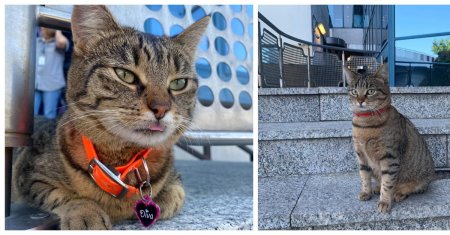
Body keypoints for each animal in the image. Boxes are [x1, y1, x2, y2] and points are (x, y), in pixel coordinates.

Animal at [14, 5, 210, 229]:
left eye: (179, 83)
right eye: (125, 75)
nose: (161, 108)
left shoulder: (175, 180)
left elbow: (174, 195)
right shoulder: (30, 174)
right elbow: (62, 195)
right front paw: (86, 212)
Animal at [344, 63, 436, 213]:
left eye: (370, 91)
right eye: (354, 92)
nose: (360, 101)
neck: (365, 125)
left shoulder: (390, 157)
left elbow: (387, 183)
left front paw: (385, 201)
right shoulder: (361, 155)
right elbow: (364, 176)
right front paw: (366, 192)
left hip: (418, 182)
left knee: (405, 189)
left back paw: (397, 194)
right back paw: (376, 188)